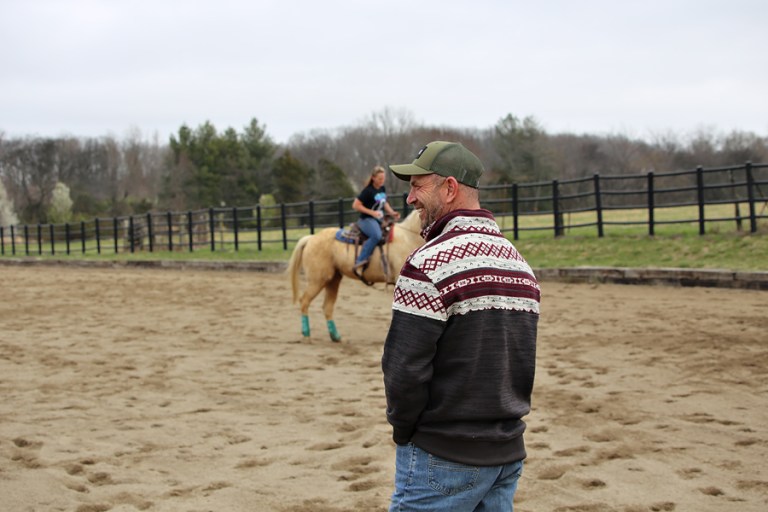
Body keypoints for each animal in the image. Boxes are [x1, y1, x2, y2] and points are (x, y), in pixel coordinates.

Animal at [288, 210, 424, 342]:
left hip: (333, 280)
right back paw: (306, 334)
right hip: (318, 280)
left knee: (327, 307)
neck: (409, 237)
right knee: (304, 301)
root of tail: (311, 238)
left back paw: (335, 336)